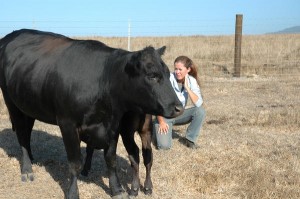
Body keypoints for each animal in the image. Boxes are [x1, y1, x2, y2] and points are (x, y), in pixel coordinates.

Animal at [0, 29, 183, 199]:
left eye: (168, 73)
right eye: (151, 75)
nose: (179, 107)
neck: (104, 80)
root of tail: (13, 35)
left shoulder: (113, 125)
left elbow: (111, 159)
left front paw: (116, 189)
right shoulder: (67, 124)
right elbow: (75, 162)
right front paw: (73, 192)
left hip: (28, 106)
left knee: (27, 132)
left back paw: (32, 158)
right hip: (12, 103)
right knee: (22, 135)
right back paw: (27, 169)